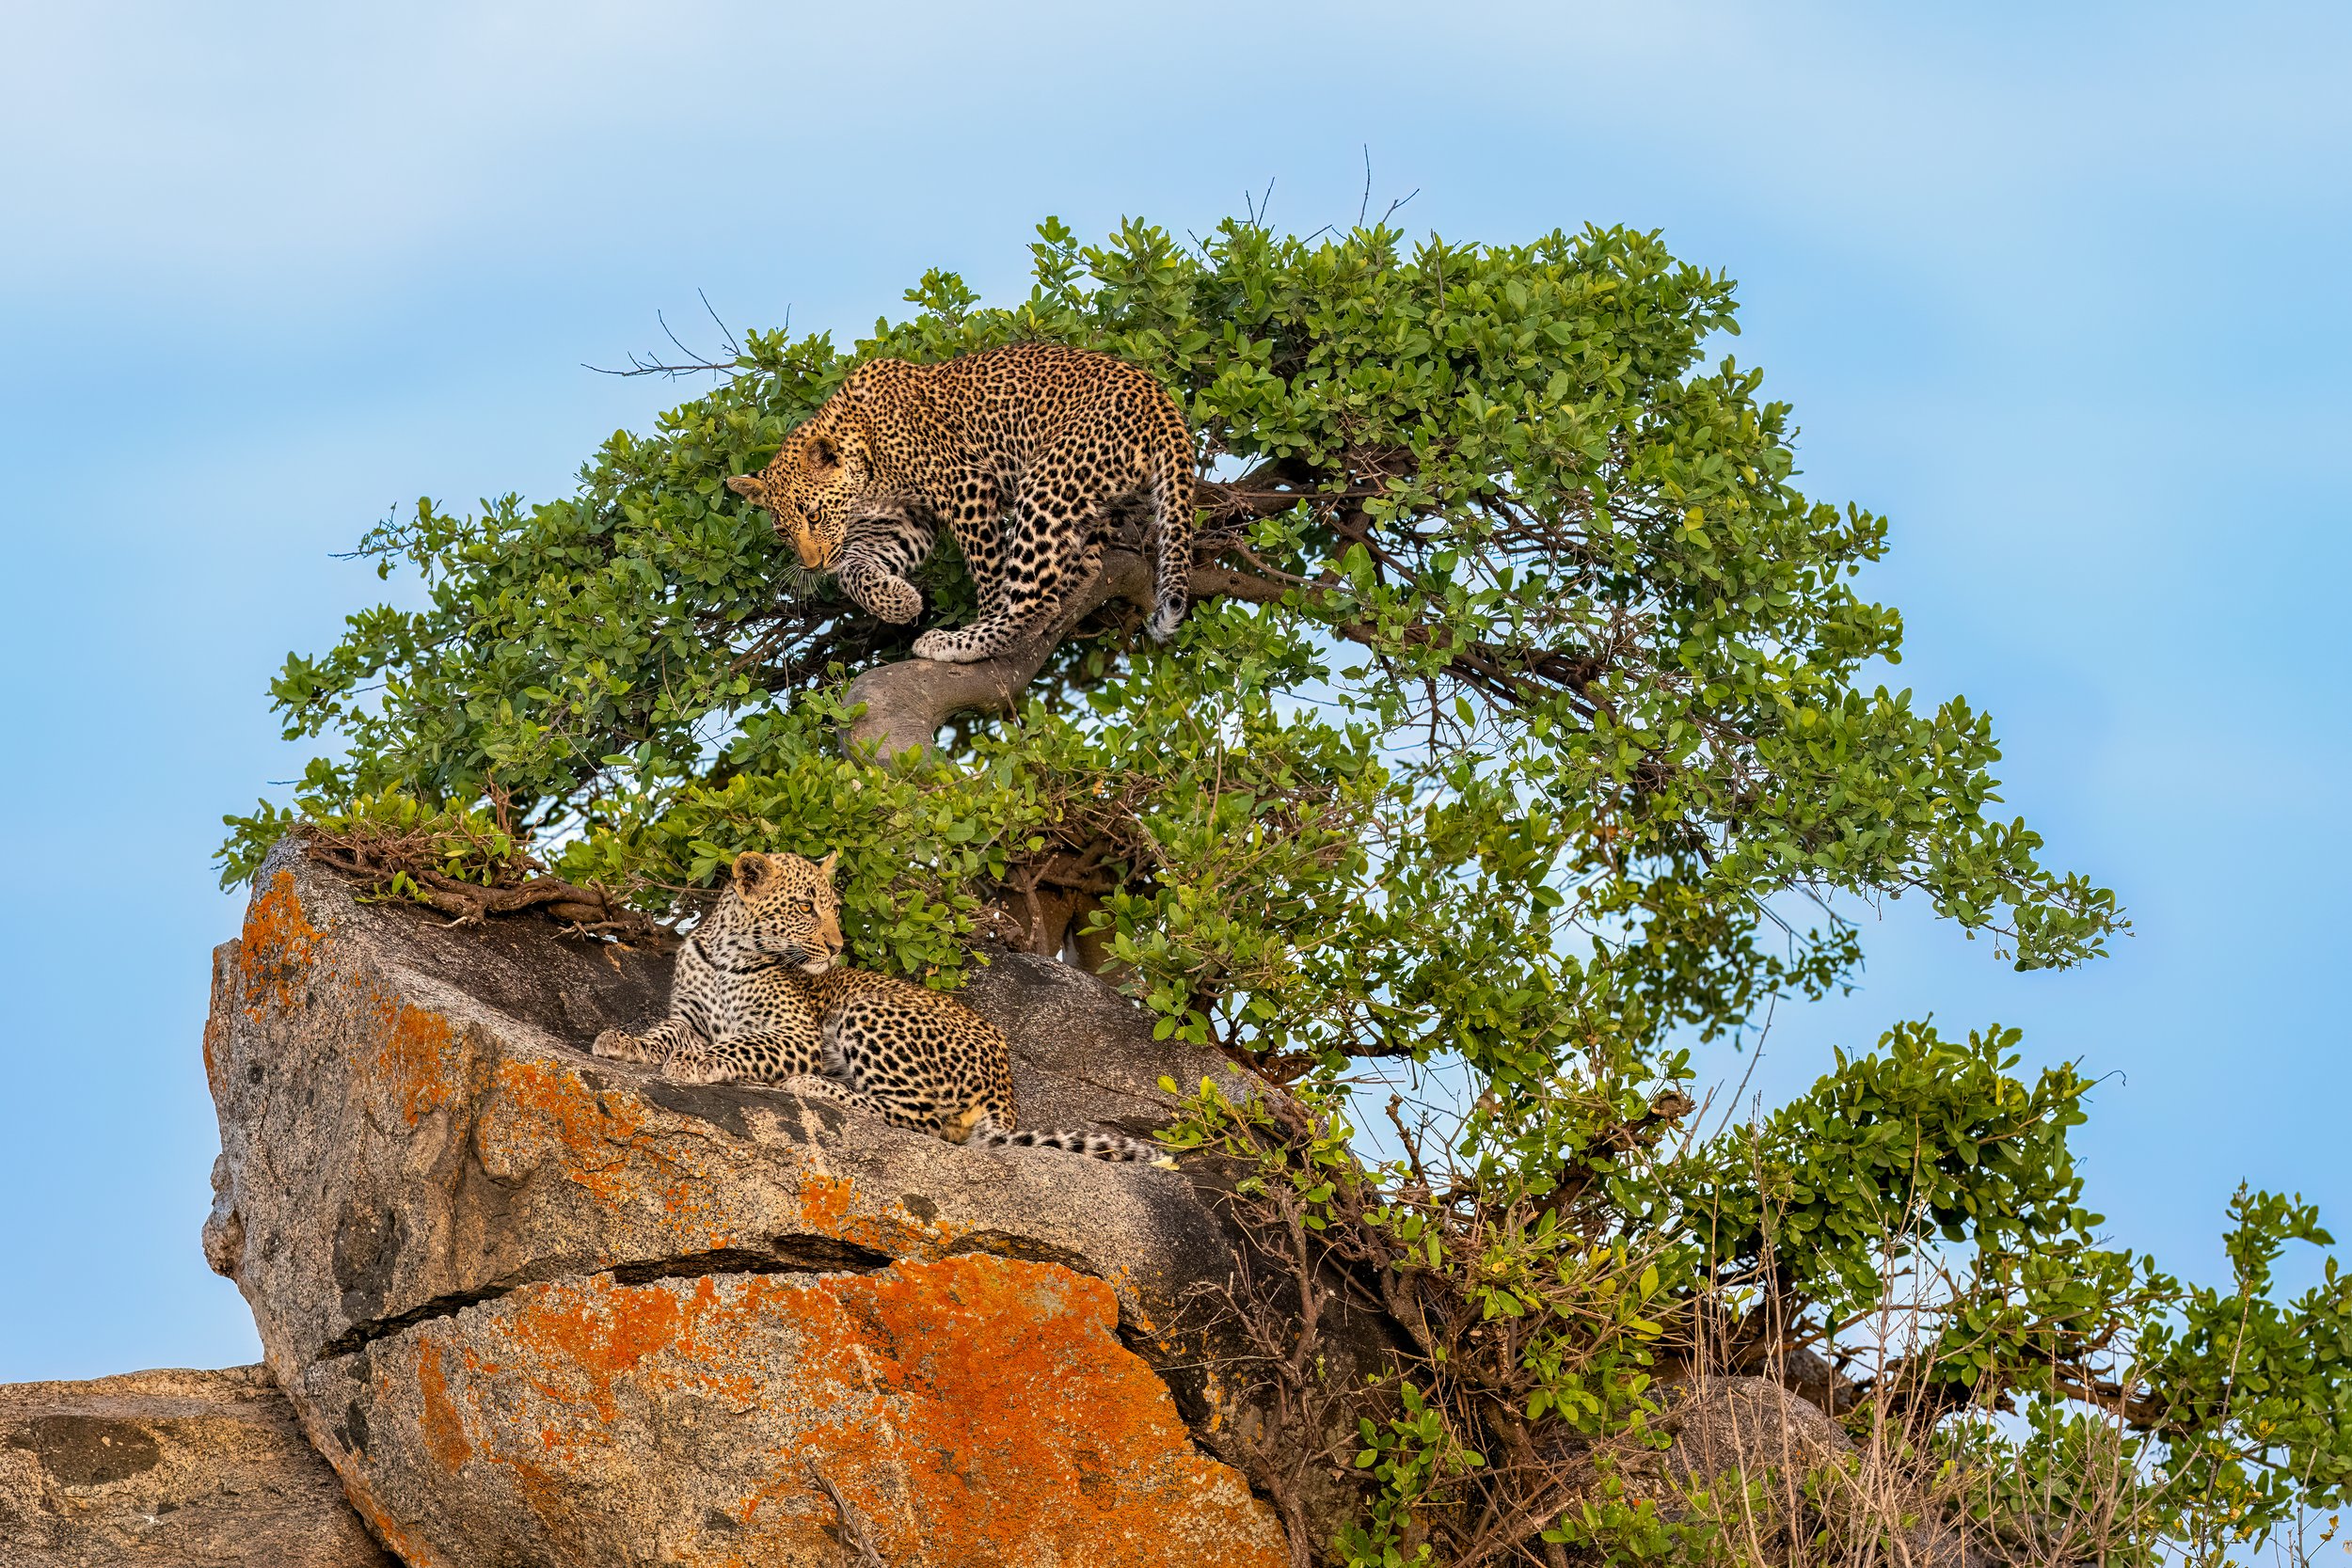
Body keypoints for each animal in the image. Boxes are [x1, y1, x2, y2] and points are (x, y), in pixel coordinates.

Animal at [590, 849, 1169, 1164]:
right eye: (805, 907)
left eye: (833, 908)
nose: (837, 947)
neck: (730, 954)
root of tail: (1006, 1092)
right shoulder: (689, 1016)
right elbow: (662, 1032)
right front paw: (625, 1042)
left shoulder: (795, 1034)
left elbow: (739, 1045)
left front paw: (695, 1063)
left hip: (868, 1013)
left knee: (920, 1119)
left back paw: (813, 1086)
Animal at [723, 343, 1196, 664]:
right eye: (783, 531)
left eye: (814, 514)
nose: (812, 564)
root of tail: (1161, 400)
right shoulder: (906, 519)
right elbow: (855, 570)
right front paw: (900, 602)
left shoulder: (966, 487)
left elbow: (988, 569)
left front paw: (979, 613)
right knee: (1081, 562)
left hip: (1049, 480)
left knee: (1033, 599)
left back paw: (962, 642)